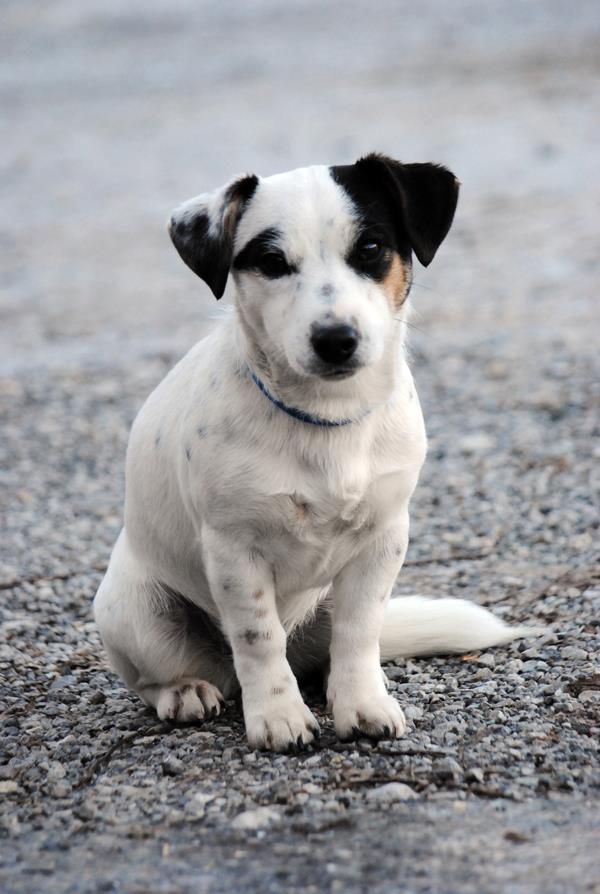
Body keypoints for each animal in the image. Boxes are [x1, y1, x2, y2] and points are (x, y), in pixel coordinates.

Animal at [95, 156, 536, 756]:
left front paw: (361, 704)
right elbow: (259, 640)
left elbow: (358, 633)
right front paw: (279, 717)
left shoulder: (383, 539)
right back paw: (185, 691)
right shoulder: (234, 550)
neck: (328, 418)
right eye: (271, 262)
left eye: (370, 248)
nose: (335, 339)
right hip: (134, 609)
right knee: (170, 672)